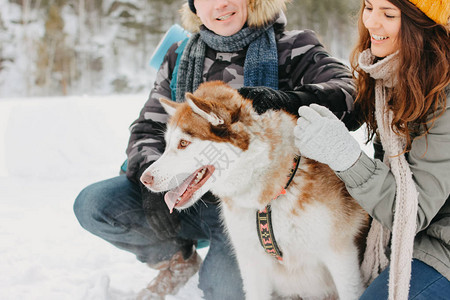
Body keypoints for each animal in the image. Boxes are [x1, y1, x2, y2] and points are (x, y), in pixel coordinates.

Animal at [141, 81, 370, 298]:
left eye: (183, 143)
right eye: (167, 144)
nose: (144, 179)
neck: (269, 199)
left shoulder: (340, 256)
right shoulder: (251, 264)